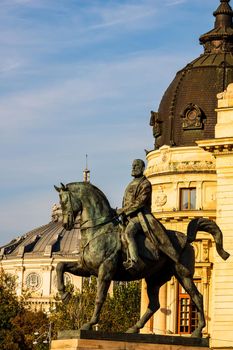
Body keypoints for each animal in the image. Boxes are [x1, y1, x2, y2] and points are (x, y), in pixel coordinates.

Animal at [54, 180, 229, 336]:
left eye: (64, 202)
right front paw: (64, 294)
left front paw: (89, 324)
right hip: (155, 279)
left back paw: (198, 331)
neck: (99, 230)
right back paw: (134, 328)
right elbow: (61, 266)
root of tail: (187, 239)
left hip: (183, 274)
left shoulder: (105, 270)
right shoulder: (87, 268)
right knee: (154, 304)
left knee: (197, 297)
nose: (66, 224)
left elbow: (99, 297)